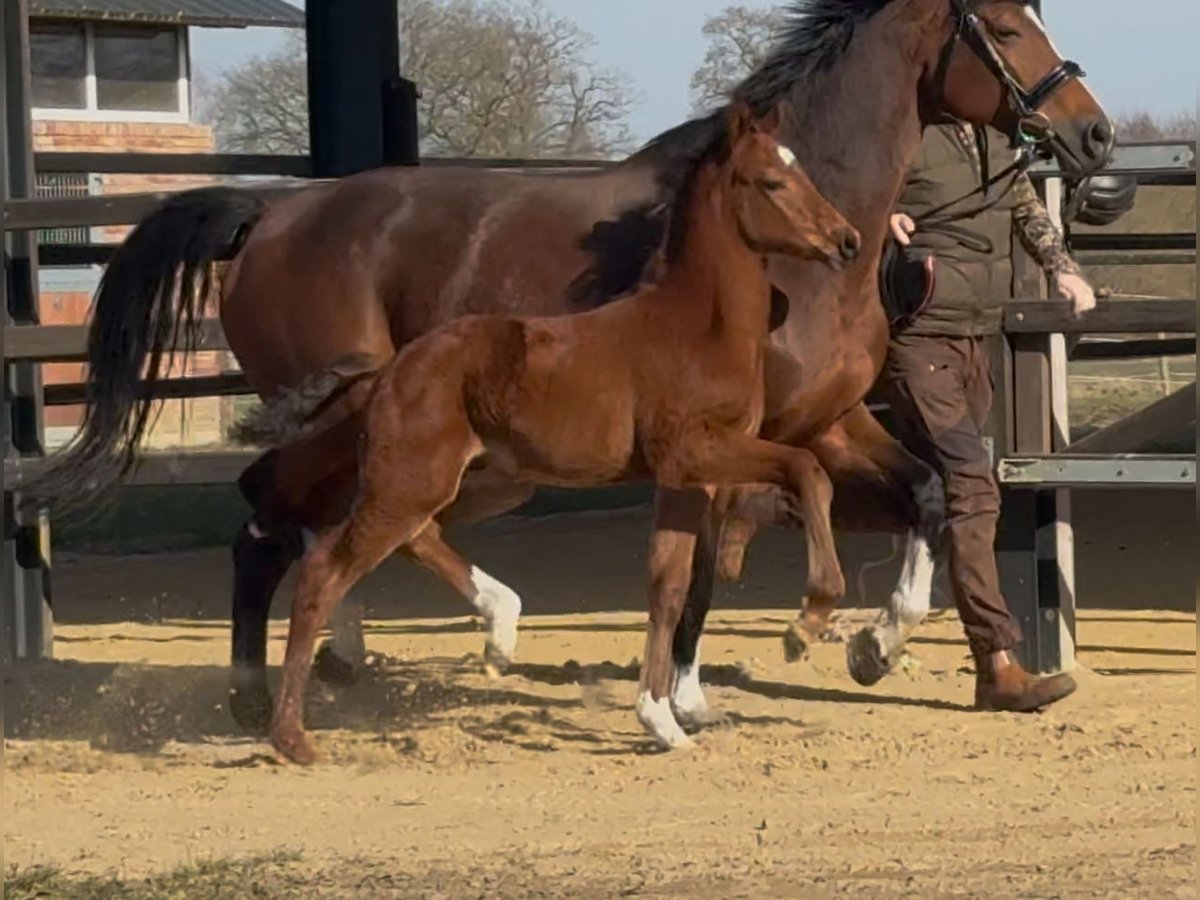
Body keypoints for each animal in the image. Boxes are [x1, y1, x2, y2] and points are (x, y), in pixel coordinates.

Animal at [30, 0, 1113, 739]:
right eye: (1005, 25)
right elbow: (705, 569)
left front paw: (872, 645)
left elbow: (926, 495)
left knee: (305, 527)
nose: (1092, 132)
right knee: (297, 524)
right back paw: (376, 661)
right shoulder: (738, 441)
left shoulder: (826, 420)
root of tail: (270, 214)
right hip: (376, 429)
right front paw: (701, 689)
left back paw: (313, 676)